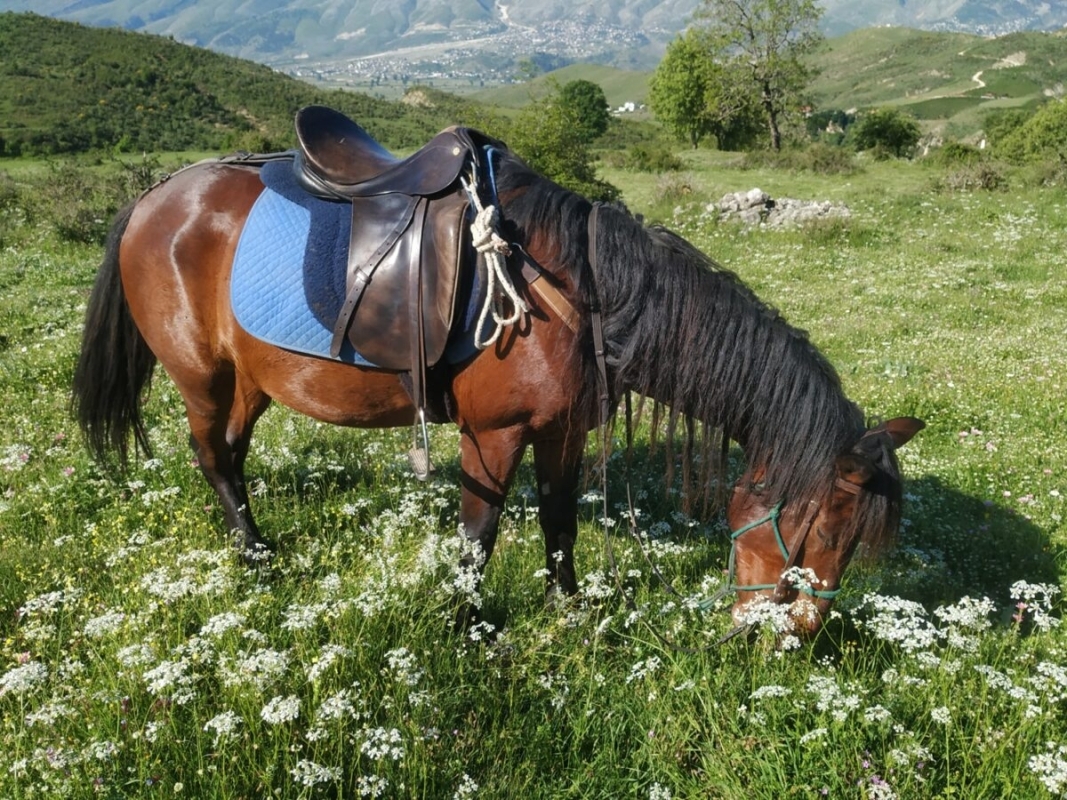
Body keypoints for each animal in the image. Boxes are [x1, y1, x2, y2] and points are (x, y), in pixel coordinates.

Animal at [72, 120, 922, 635]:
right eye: (827, 530)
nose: (791, 640)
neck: (578, 292)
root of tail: (155, 196)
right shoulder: (494, 434)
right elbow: (478, 537)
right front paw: (467, 626)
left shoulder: (563, 430)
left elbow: (558, 523)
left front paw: (568, 608)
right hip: (202, 375)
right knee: (214, 457)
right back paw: (254, 557)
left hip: (250, 380)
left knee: (234, 453)